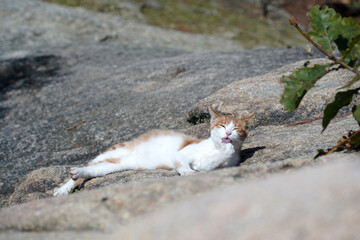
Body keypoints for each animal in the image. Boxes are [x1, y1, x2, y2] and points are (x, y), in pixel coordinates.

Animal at [52, 107, 253, 197]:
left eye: (236, 128)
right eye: (222, 125)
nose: (228, 133)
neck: (213, 147)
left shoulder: (208, 165)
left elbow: (213, 162)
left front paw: (228, 148)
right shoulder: (181, 154)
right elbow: (183, 164)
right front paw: (187, 172)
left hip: (112, 166)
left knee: (90, 170)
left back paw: (76, 174)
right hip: (110, 153)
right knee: (84, 167)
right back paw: (64, 187)